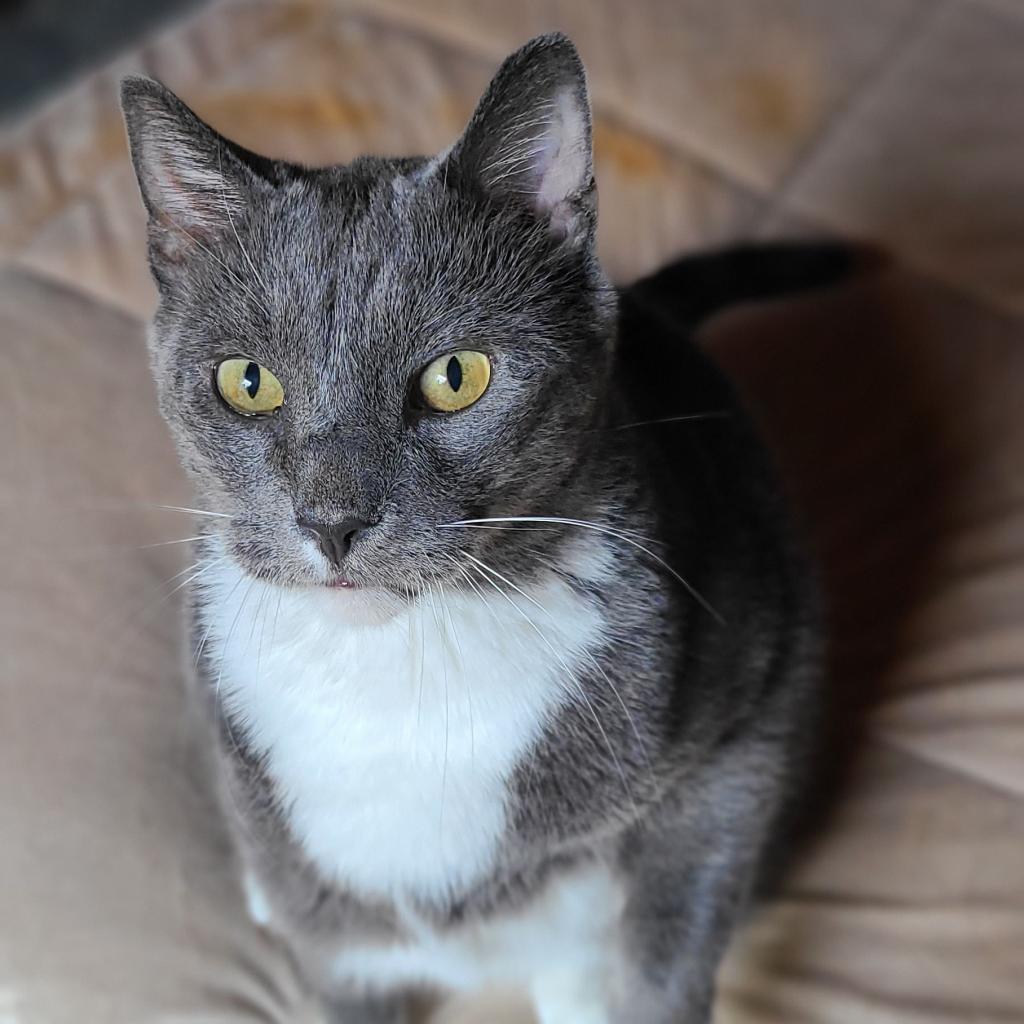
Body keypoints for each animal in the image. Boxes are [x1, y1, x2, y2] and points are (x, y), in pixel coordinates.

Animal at [123, 32, 831, 1024]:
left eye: (457, 376)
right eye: (247, 382)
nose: (331, 520)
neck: (402, 672)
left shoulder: (746, 711)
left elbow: (666, 940)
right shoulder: (341, 943)